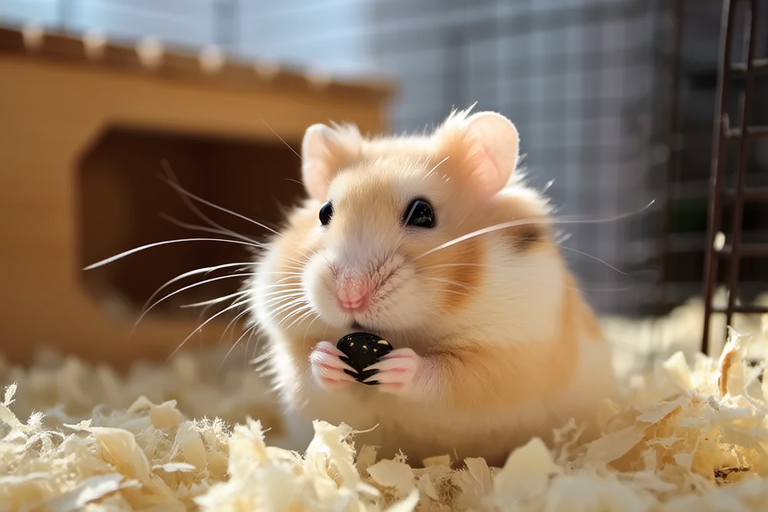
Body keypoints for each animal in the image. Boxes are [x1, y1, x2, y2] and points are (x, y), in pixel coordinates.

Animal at [248, 108, 617, 467]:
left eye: (423, 213)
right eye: (324, 212)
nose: (350, 296)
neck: (409, 331)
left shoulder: (506, 358)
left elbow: (447, 378)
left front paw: (398, 366)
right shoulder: (296, 360)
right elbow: (313, 376)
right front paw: (328, 358)